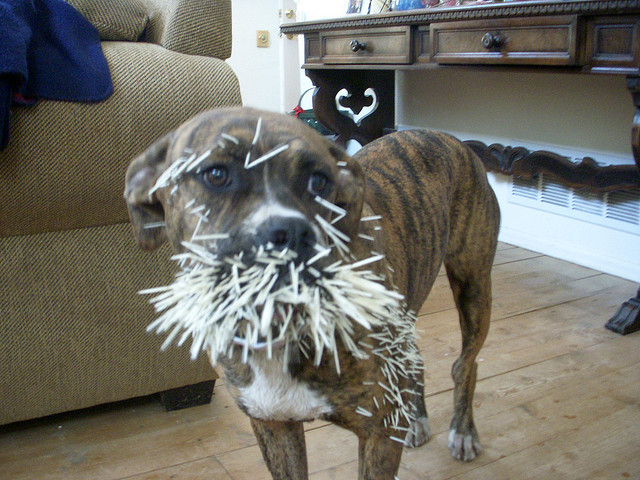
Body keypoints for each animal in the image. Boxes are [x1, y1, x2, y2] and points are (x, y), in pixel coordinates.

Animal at [124, 107, 500, 478]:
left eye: (319, 181)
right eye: (216, 174)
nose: (290, 232)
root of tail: (450, 138)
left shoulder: (379, 432)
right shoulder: (274, 427)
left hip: (473, 285)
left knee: (465, 364)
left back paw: (463, 431)